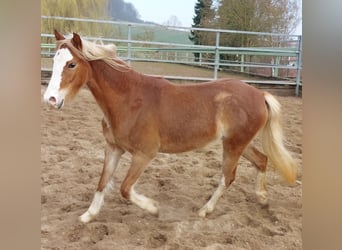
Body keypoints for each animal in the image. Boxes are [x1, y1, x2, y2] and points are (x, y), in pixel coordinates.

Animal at [43, 31, 296, 223]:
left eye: (72, 64)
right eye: (54, 61)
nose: (50, 99)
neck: (129, 99)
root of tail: (260, 94)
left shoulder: (144, 155)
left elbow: (125, 188)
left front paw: (154, 208)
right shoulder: (113, 148)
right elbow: (103, 181)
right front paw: (88, 215)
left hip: (234, 146)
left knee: (228, 177)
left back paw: (205, 210)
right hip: (238, 143)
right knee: (262, 160)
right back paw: (262, 198)